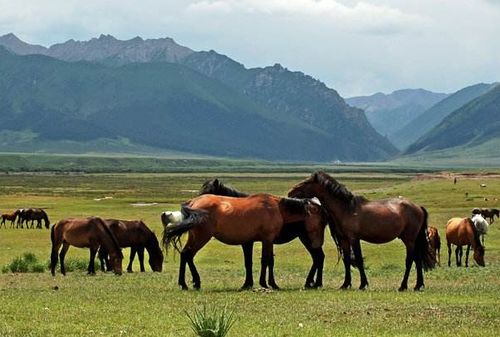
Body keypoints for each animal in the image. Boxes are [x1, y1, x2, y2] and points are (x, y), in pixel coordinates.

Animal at [160, 192, 324, 288]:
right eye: (321, 220)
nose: (318, 243)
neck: (276, 207)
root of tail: (192, 203)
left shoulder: (264, 240)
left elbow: (265, 261)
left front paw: (267, 283)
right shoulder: (267, 239)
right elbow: (266, 261)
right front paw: (267, 284)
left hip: (195, 237)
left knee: (185, 255)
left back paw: (187, 283)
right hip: (202, 237)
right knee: (188, 255)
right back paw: (190, 283)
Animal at [195, 178, 328, 288]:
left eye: (209, 192)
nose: (195, 206)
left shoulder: (251, 242)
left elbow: (258, 261)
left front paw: (254, 283)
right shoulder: (256, 242)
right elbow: (258, 262)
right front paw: (251, 284)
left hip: (308, 239)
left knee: (319, 257)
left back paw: (315, 283)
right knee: (317, 258)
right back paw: (312, 282)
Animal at [288, 172, 436, 290]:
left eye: (306, 182)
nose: (290, 192)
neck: (346, 209)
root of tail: (418, 207)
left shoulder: (354, 238)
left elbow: (359, 260)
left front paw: (363, 284)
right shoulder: (344, 239)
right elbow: (347, 260)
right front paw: (345, 284)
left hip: (409, 239)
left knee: (410, 260)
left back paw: (403, 286)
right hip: (413, 240)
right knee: (417, 259)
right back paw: (418, 285)